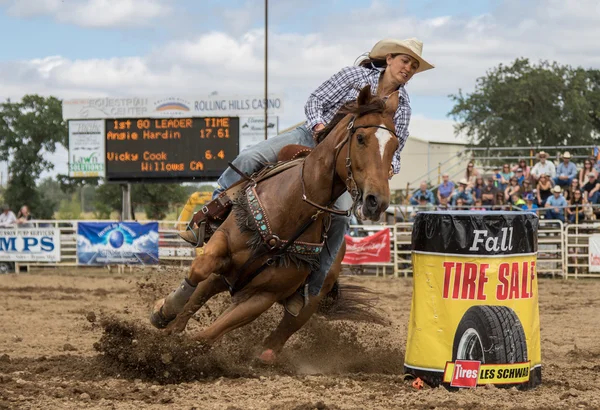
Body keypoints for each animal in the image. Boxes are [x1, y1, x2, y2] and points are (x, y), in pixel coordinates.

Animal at [151, 85, 398, 358]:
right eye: (361, 138)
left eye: (395, 146)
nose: (377, 201)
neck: (292, 206)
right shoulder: (222, 244)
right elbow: (199, 271)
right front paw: (165, 311)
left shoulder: (263, 296)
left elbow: (208, 335)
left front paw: (178, 352)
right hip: (228, 275)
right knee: (200, 291)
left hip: (306, 299)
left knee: (282, 331)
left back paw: (264, 355)